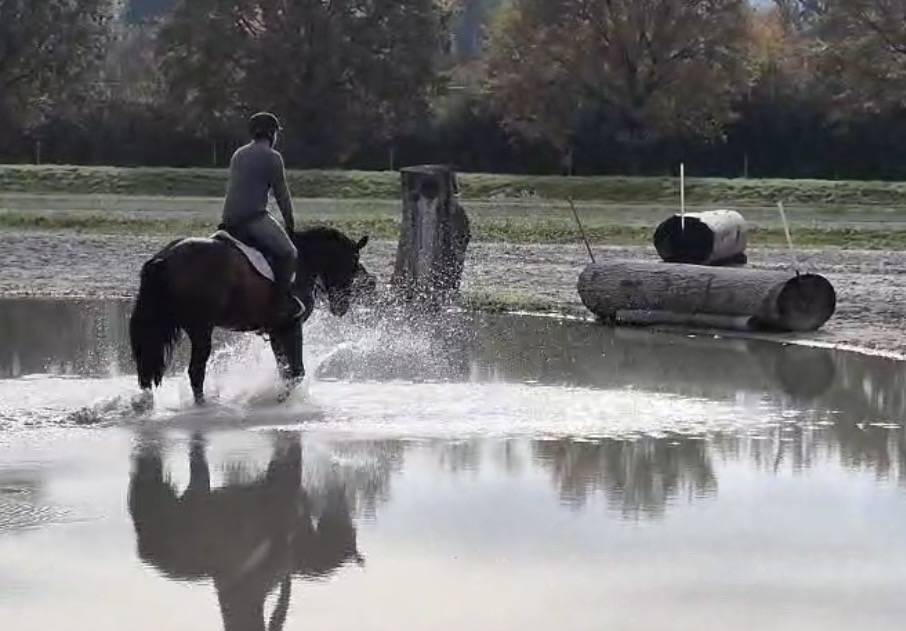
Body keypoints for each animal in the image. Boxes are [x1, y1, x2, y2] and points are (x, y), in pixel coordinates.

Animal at [129, 226, 374, 404]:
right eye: (353, 263)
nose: (341, 307)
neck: (304, 260)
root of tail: (164, 258)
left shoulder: (276, 331)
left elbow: (285, 369)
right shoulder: (290, 326)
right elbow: (297, 372)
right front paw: (280, 398)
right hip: (201, 329)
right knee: (196, 372)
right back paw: (203, 406)